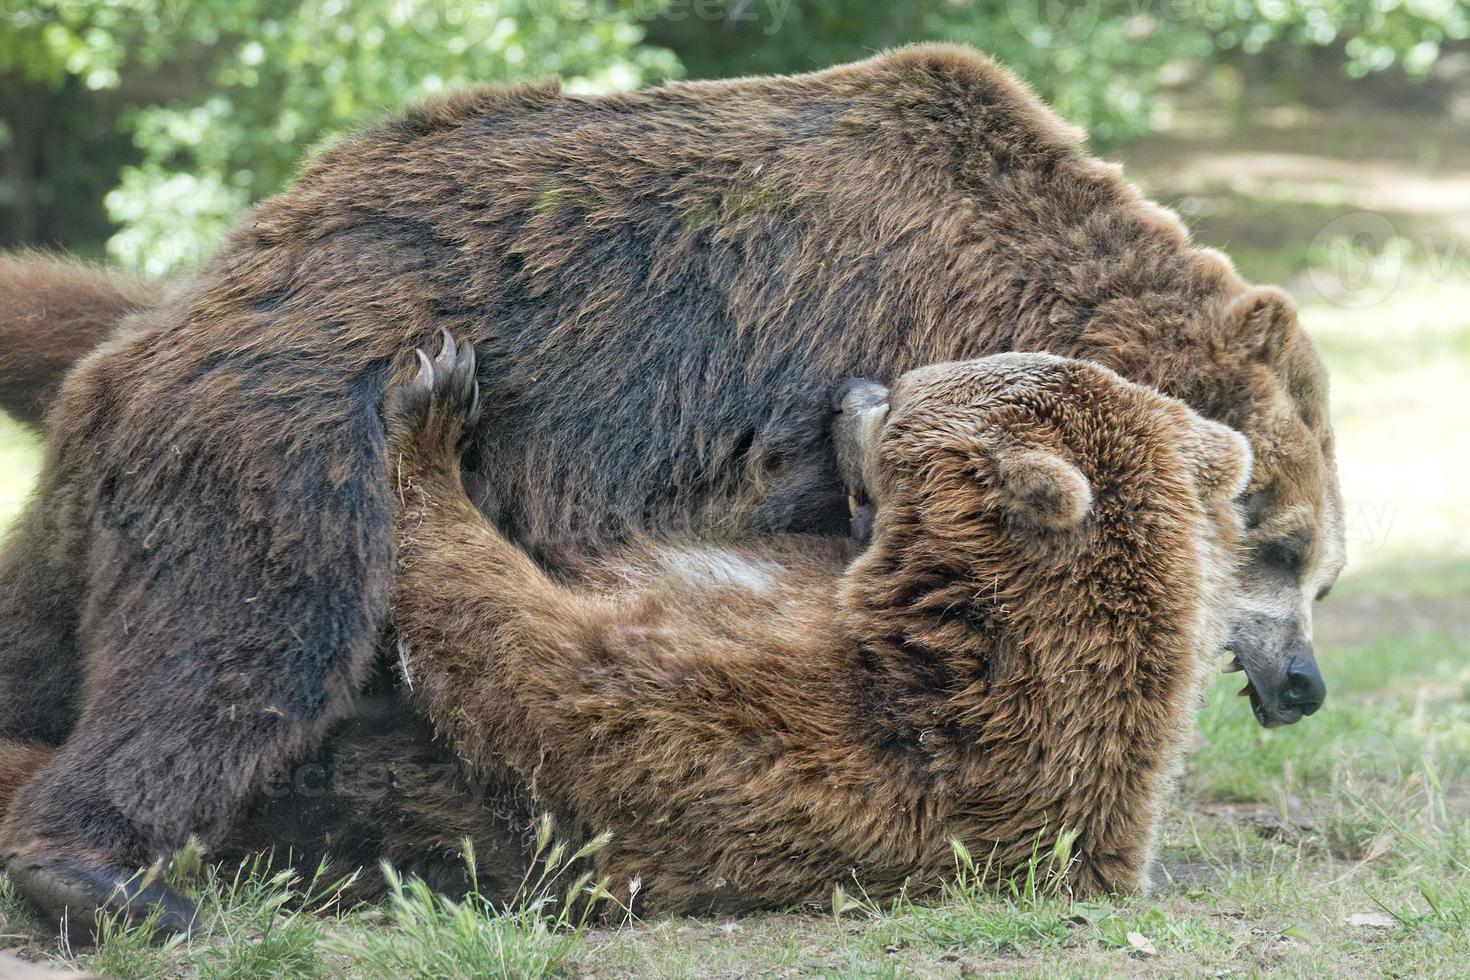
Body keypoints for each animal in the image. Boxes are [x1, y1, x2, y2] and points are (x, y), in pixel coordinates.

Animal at [0, 44, 1346, 934]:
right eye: (1281, 542)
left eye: (1325, 569)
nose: (1301, 683)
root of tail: (171, 316)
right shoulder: (815, 371)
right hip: (287, 432)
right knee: (246, 636)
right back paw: (106, 875)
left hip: (110, 493)